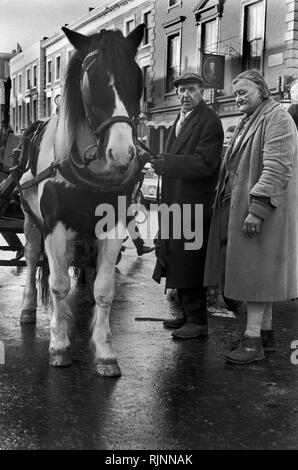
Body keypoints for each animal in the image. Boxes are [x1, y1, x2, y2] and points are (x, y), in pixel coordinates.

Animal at [19, 24, 147, 378]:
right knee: (33, 259)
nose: (122, 154)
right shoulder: (54, 225)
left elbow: (104, 289)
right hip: (31, 221)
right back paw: (28, 308)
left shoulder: (113, 226)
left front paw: (104, 351)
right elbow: (59, 283)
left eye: (137, 76)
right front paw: (59, 345)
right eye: (90, 77)